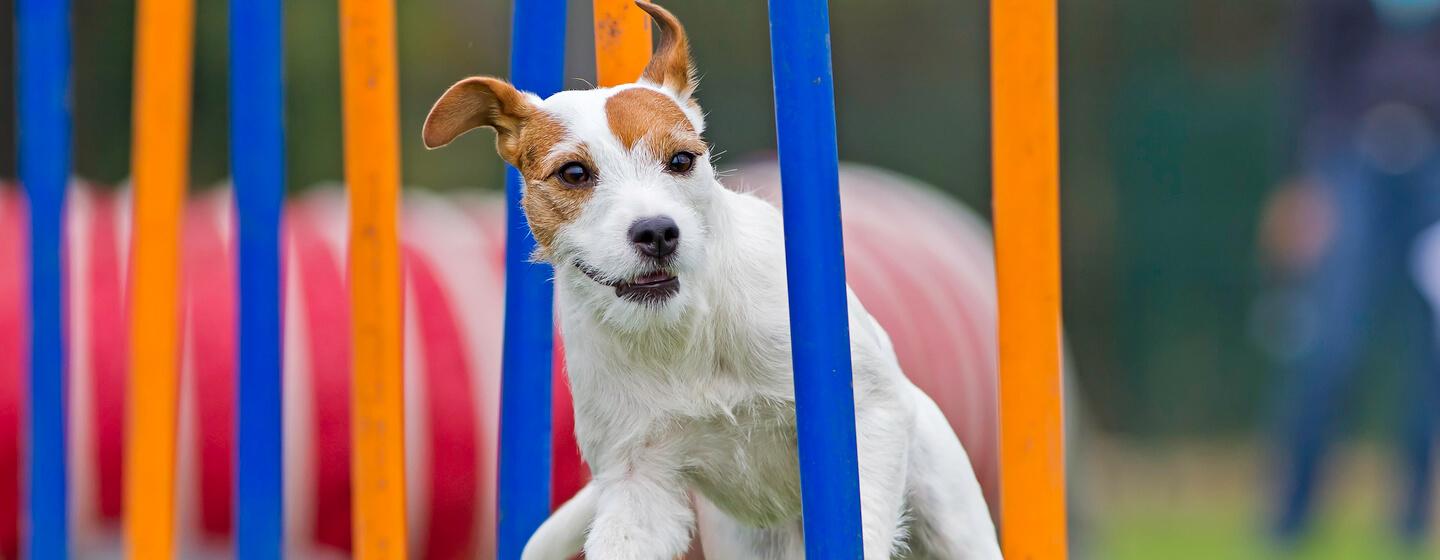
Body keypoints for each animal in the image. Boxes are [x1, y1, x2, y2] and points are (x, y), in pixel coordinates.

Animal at [417, 2, 1002, 555]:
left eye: (681, 159)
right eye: (574, 173)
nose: (657, 231)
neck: (684, 332)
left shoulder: (866, 412)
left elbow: (866, 513)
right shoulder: (638, 481)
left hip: (950, 516)